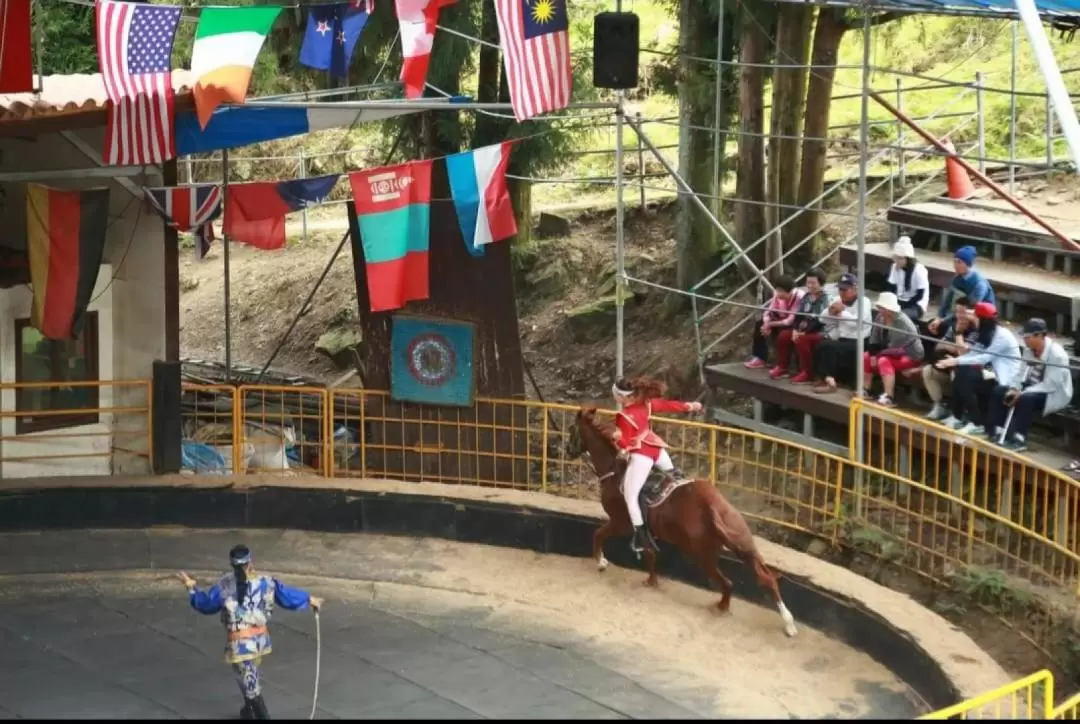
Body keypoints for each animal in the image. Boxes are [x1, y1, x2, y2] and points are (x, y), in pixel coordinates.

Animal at [570, 406, 799, 639]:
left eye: (572, 429)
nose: (569, 450)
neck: (616, 472)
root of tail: (711, 504)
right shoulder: (645, 532)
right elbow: (651, 555)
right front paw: (651, 581)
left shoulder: (621, 523)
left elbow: (598, 534)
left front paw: (601, 562)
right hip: (742, 542)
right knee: (766, 578)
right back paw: (788, 623)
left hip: (702, 555)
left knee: (727, 583)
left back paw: (722, 607)